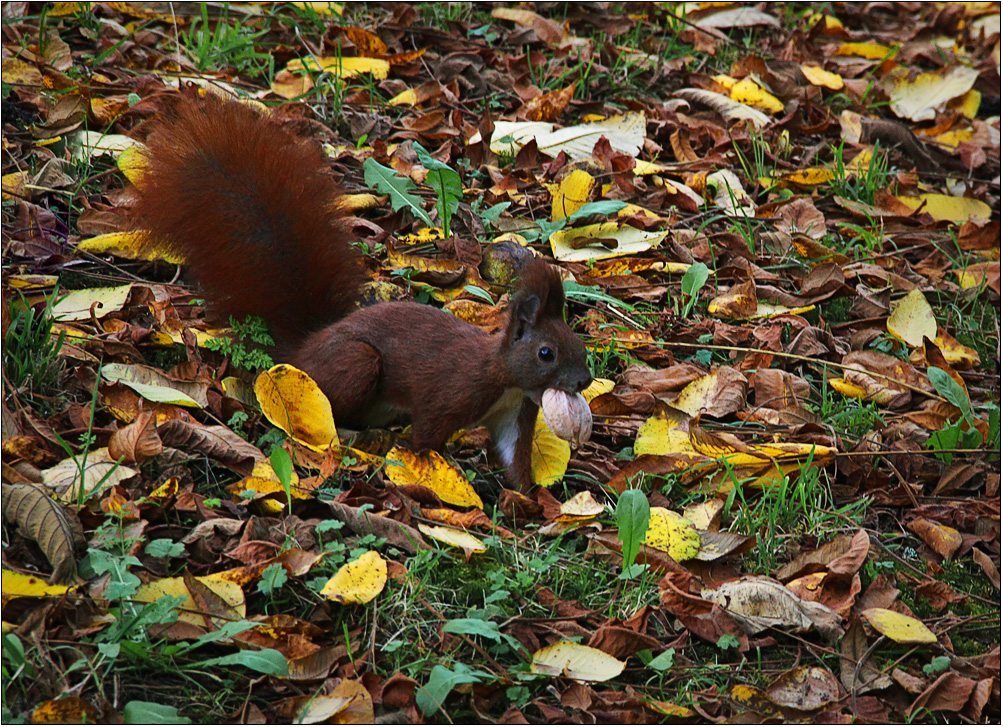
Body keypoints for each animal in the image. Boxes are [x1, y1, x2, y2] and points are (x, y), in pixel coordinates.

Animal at [129, 92, 589, 487]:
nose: (584, 381)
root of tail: (304, 349)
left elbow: (514, 458)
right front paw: (439, 470)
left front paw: (531, 503)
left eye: (580, 346)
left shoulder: (513, 412)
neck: (502, 377)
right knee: (335, 408)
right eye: (546, 353)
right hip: (355, 364)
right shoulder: (451, 393)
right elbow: (425, 437)